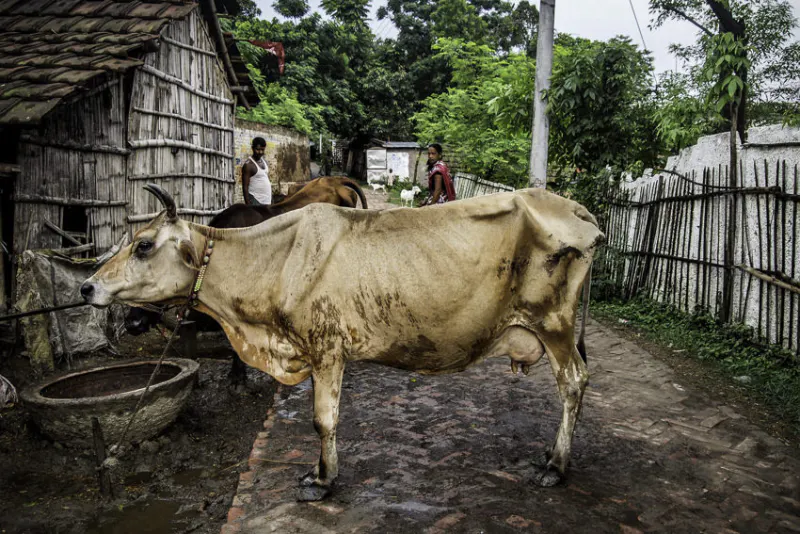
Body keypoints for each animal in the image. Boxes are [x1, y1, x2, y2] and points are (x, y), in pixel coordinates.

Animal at [81, 184, 604, 501]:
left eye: (144, 244)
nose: (88, 287)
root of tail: (576, 208)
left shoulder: (327, 349)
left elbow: (323, 420)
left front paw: (322, 479)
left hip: (553, 324)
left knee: (574, 383)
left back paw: (556, 465)